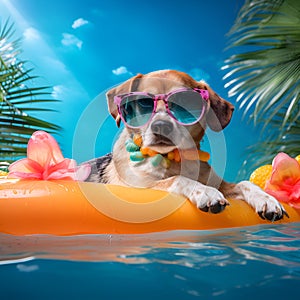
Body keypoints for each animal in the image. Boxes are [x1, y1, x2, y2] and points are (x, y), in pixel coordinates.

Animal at [85, 69, 288, 220]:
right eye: (144, 103)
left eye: (184, 101)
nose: (161, 126)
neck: (174, 158)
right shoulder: (136, 187)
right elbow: (178, 179)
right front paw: (205, 192)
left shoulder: (222, 183)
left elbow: (245, 183)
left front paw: (266, 198)